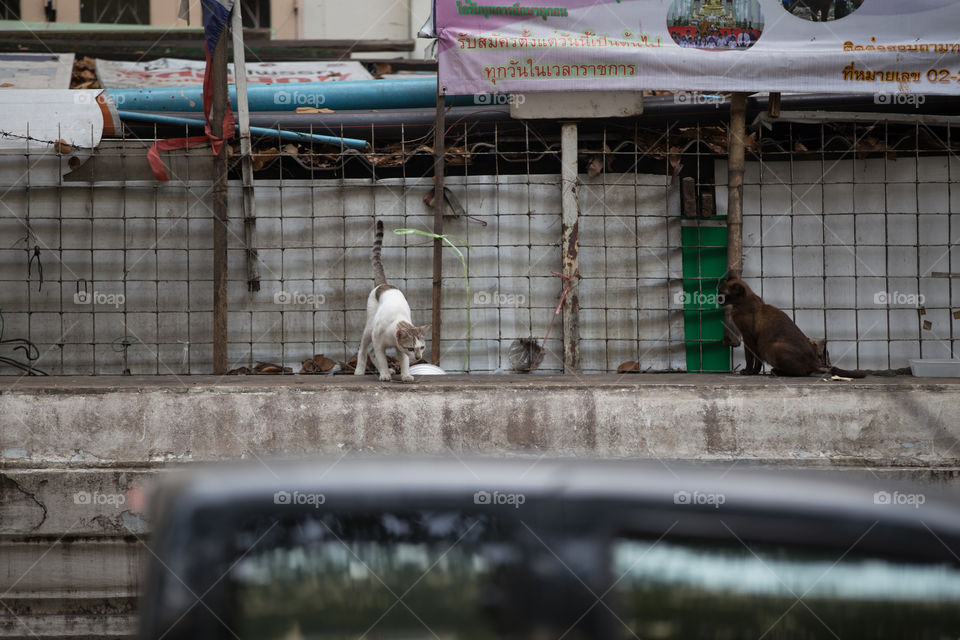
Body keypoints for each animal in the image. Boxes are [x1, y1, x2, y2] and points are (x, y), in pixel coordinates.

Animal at [354, 220, 430, 380]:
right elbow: (381, 358)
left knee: (371, 353)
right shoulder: (378, 342)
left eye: (422, 347)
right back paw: (359, 370)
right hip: (369, 328)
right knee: (364, 350)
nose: (419, 357)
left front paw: (405, 375)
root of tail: (384, 284)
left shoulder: (400, 348)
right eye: (411, 348)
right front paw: (384, 374)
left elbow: (404, 361)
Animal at [716, 278, 868, 378]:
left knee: (802, 373)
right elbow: (756, 361)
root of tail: (814, 361)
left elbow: (751, 359)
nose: (717, 299)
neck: (741, 304)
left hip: (773, 348)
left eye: (722, 294)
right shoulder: (749, 339)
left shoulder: (748, 338)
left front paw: (748, 372)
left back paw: (777, 372)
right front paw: (752, 372)